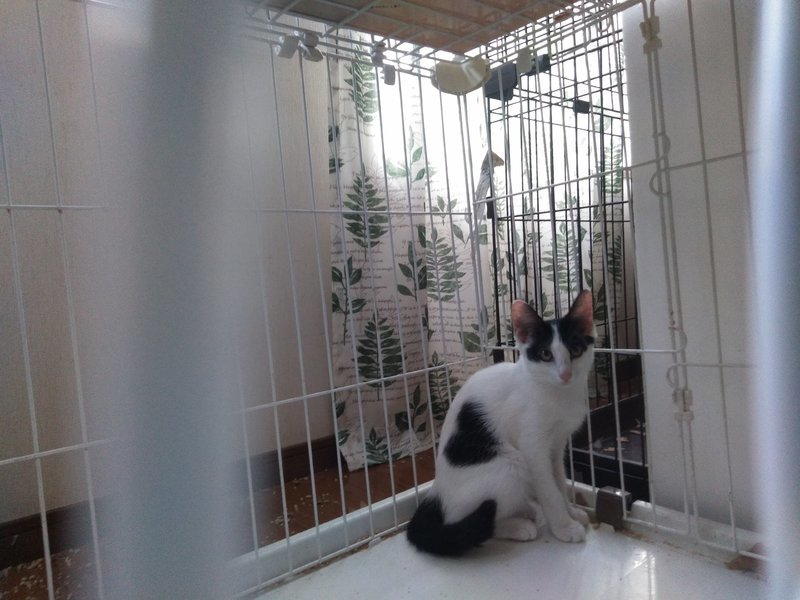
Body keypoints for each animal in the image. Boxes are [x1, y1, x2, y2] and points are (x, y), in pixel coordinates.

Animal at [407, 290, 595, 556]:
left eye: (576, 349)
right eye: (546, 354)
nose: (566, 374)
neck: (557, 394)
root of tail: (436, 494)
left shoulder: (556, 446)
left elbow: (559, 480)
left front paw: (572, 513)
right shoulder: (533, 448)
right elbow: (549, 490)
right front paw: (564, 527)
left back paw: (525, 510)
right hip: (510, 465)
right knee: (481, 524)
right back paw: (518, 526)